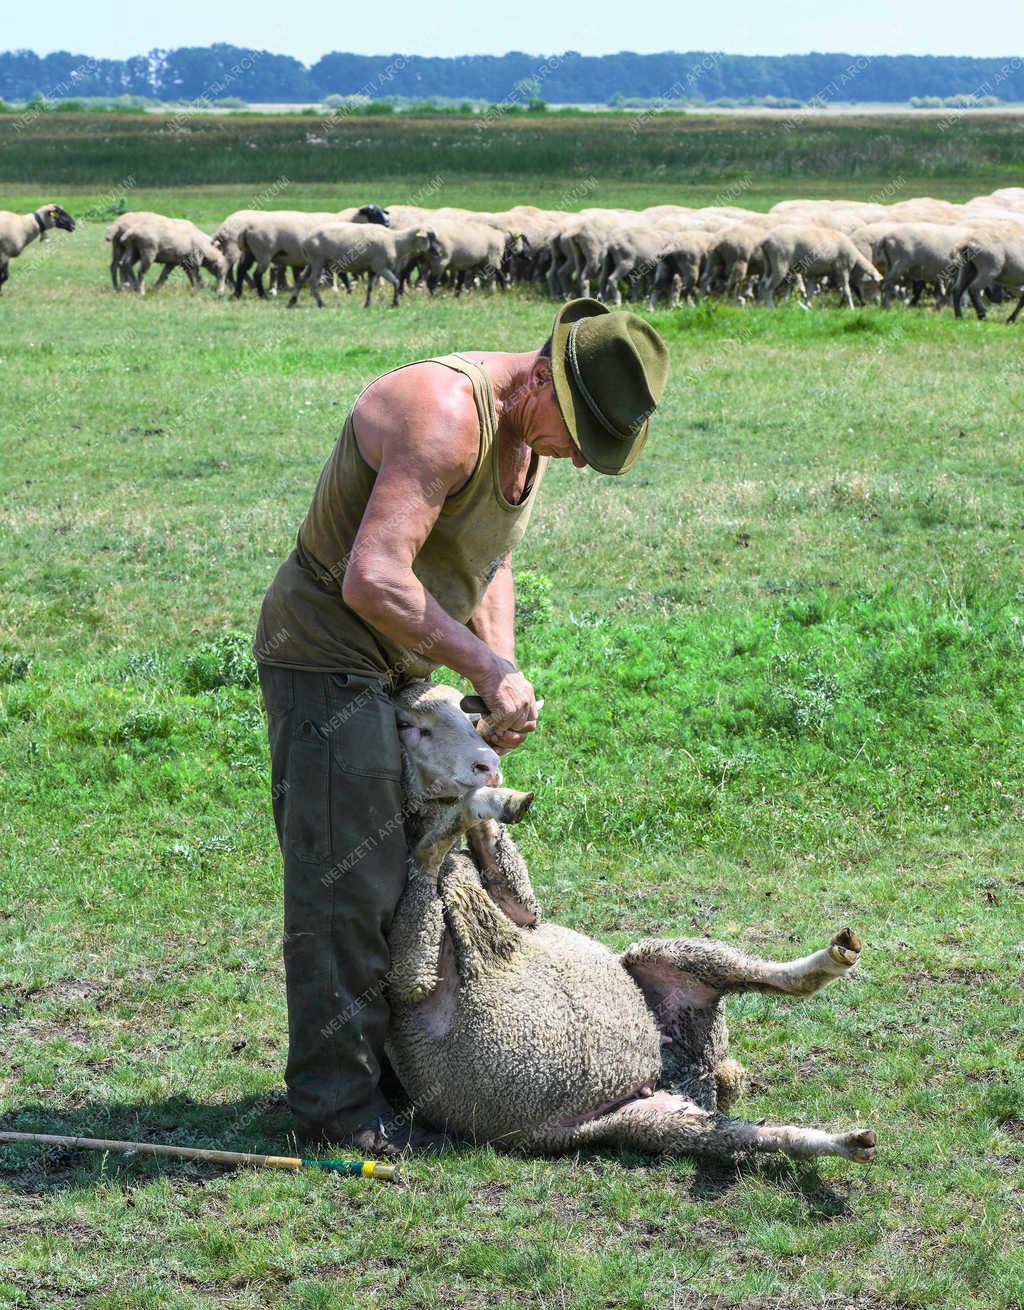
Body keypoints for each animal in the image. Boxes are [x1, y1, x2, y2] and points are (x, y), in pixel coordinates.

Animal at [286, 224, 439, 310]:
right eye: (430, 237)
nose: (438, 252)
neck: (396, 241)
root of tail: (305, 241)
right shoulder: (380, 267)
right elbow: (396, 282)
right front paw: (395, 303)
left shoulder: (373, 269)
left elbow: (370, 288)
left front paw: (367, 304)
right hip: (317, 260)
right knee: (313, 281)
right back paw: (321, 303)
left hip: (312, 262)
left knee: (301, 278)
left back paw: (292, 302)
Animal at [384, 681, 879, 1163]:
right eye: (407, 726)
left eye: (471, 719)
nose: (488, 765)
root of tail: (696, 1071)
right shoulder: (408, 980)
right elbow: (428, 851)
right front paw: (489, 801)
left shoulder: (519, 912)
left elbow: (517, 896)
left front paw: (497, 801)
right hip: (649, 1120)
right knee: (751, 1136)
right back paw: (847, 1142)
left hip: (668, 958)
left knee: (773, 977)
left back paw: (834, 959)